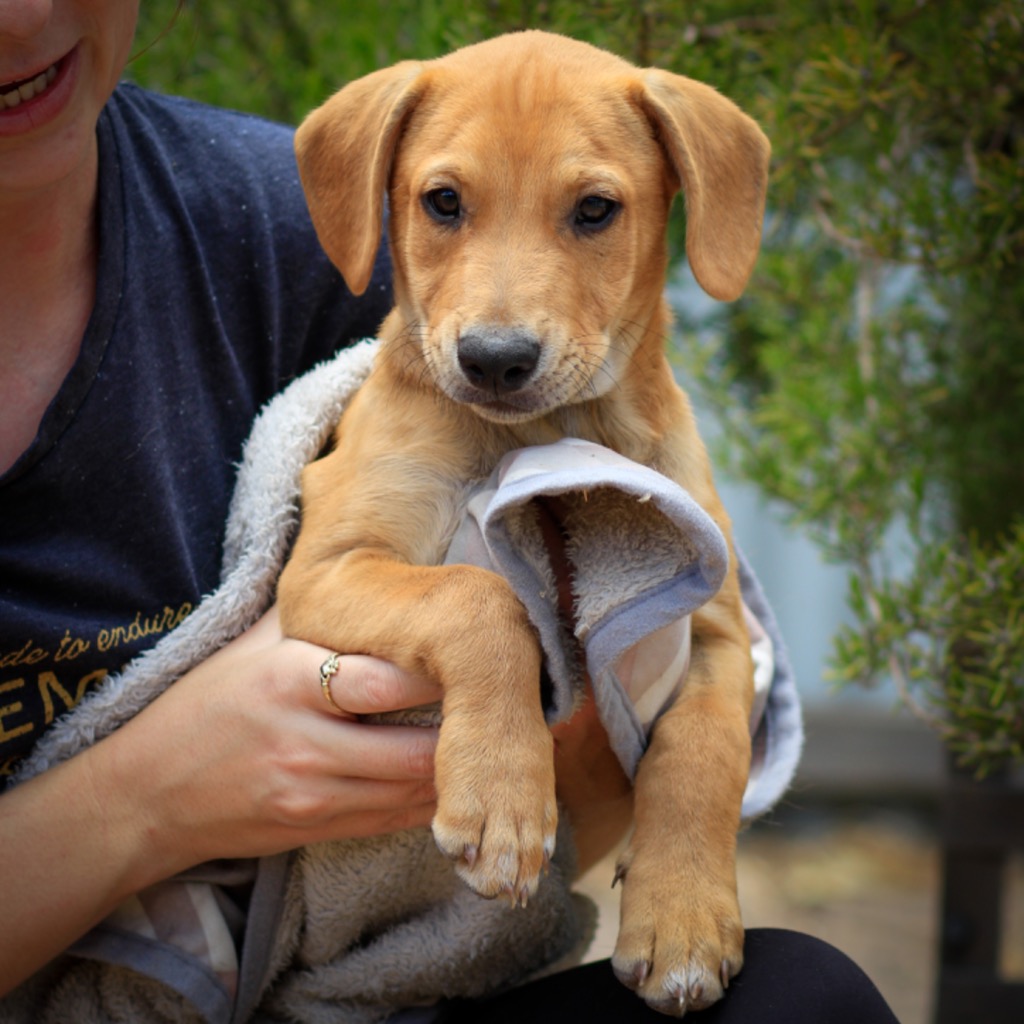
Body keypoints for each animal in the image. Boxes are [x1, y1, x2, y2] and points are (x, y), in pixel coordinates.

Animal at [277, 30, 769, 1017]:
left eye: (595, 210)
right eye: (443, 201)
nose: (495, 360)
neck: (539, 437)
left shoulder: (716, 628)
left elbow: (704, 753)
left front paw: (685, 918)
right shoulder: (325, 568)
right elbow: (477, 598)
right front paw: (503, 803)